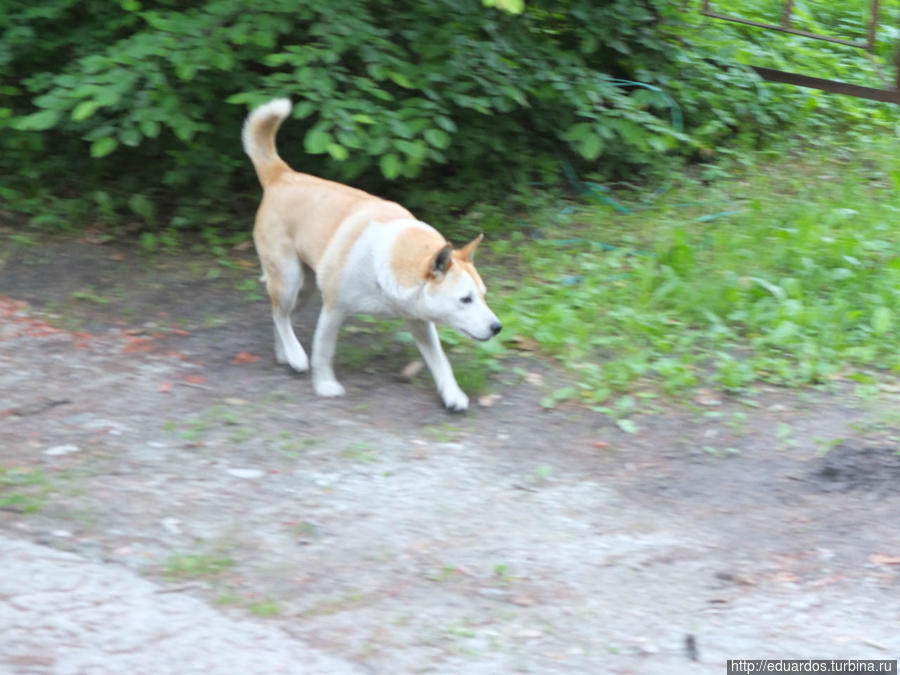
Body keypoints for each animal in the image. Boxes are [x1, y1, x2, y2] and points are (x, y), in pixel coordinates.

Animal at [243, 97, 502, 410]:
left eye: (484, 295)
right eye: (465, 299)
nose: (498, 327)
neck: (392, 258)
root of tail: (282, 175)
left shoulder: (420, 322)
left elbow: (440, 361)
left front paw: (452, 394)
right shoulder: (334, 309)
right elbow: (324, 351)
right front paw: (326, 385)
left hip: (303, 289)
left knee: (279, 314)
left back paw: (285, 353)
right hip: (290, 279)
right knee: (280, 314)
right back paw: (295, 355)